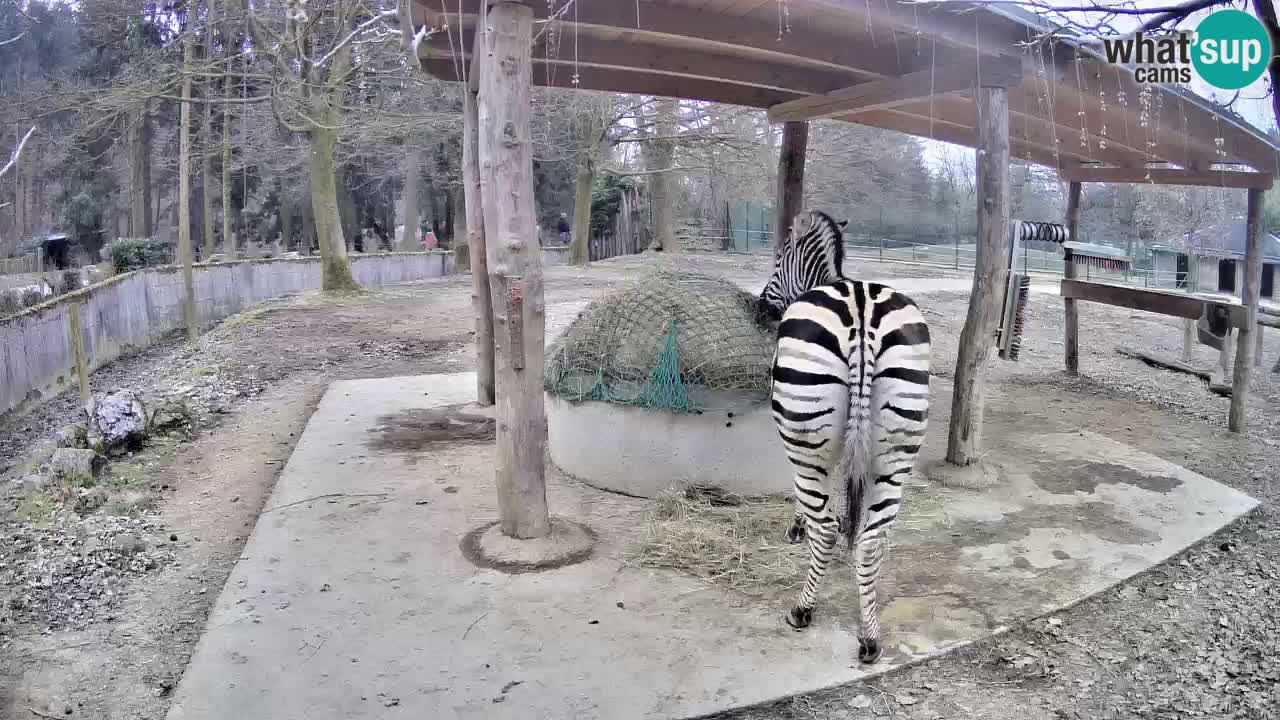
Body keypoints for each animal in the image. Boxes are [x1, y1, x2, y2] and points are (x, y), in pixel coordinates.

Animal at [757, 207, 931, 661]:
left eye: (779, 257)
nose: (761, 308)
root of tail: (862, 310)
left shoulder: (801, 441)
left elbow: (810, 500)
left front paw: (797, 525)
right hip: (897, 445)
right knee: (872, 537)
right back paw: (869, 636)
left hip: (805, 437)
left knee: (827, 530)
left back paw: (802, 609)